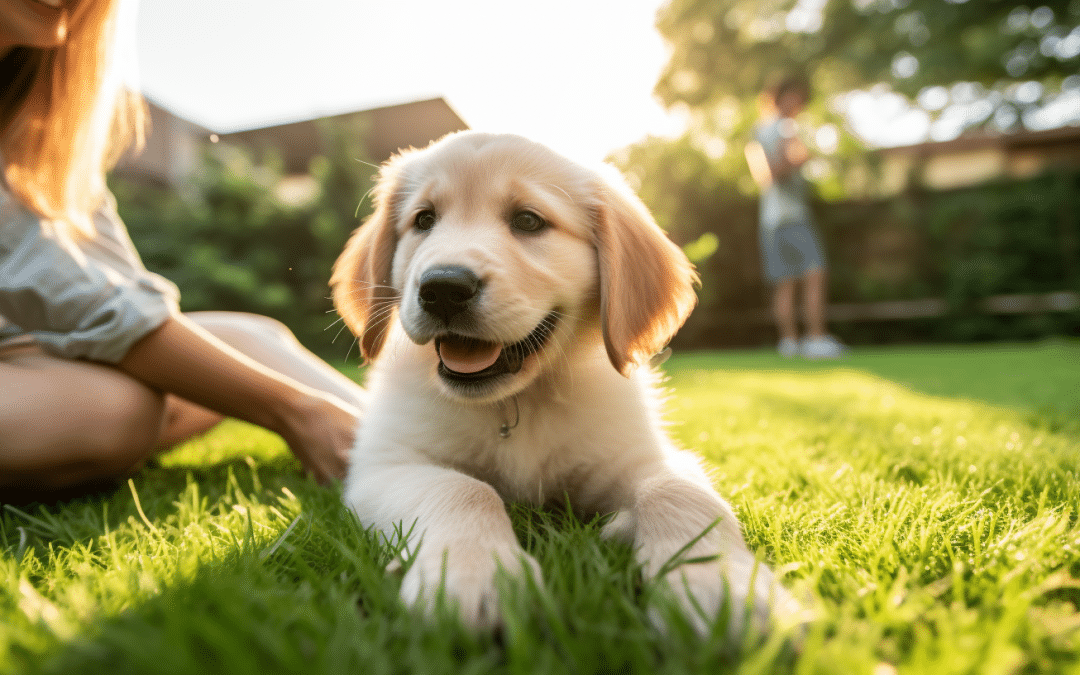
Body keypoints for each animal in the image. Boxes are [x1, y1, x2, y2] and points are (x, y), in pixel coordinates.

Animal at [332, 129, 799, 635]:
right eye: (424, 220)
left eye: (528, 220)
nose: (443, 288)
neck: (516, 403)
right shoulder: (384, 467)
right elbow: (463, 489)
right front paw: (476, 575)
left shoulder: (644, 456)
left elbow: (678, 491)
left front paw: (719, 588)